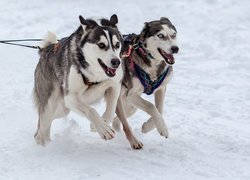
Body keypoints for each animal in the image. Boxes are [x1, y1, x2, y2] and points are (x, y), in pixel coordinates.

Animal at [33, 14, 124, 146]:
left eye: (117, 45)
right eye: (101, 45)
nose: (117, 62)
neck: (95, 75)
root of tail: (45, 49)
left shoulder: (115, 85)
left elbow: (111, 109)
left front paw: (101, 123)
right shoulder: (71, 97)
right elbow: (90, 110)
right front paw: (103, 128)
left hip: (62, 109)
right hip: (50, 105)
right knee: (41, 131)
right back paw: (43, 145)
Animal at [112, 17, 179, 146]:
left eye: (174, 35)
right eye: (161, 35)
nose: (175, 48)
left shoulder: (161, 89)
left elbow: (160, 110)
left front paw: (148, 126)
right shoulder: (131, 95)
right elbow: (151, 106)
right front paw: (162, 128)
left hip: (129, 104)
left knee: (119, 118)